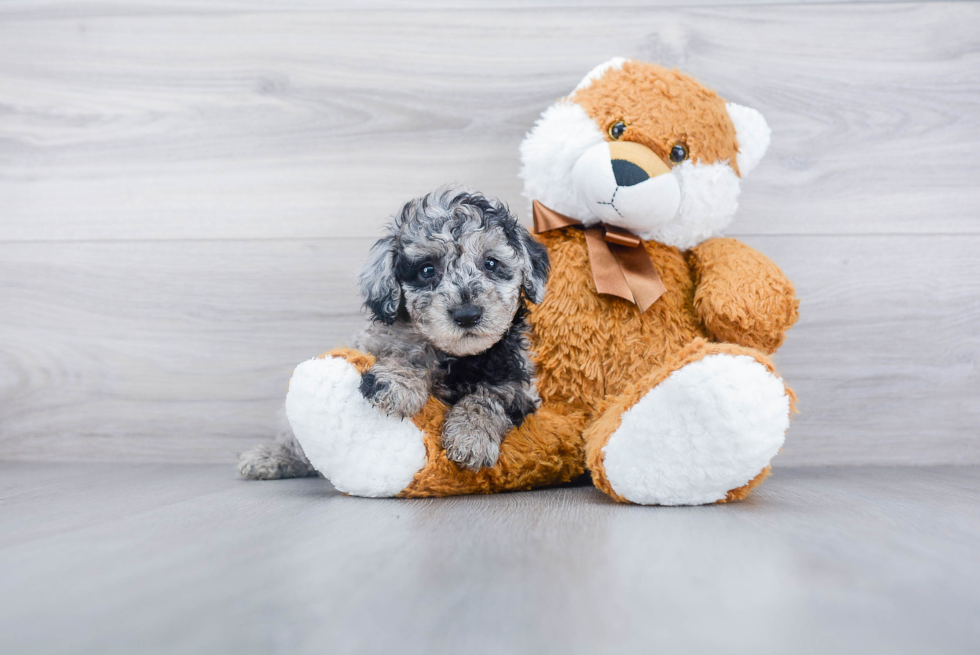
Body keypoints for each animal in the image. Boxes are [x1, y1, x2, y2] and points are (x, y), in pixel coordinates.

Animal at [234, 187, 548, 480]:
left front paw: (472, 438)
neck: (457, 357)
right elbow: (405, 348)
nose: (467, 314)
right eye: (427, 270)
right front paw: (399, 382)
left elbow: (490, 397)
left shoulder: (518, 384)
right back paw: (271, 458)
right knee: (299, 446)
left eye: (491, 263)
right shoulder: (376, 340)